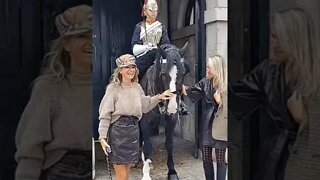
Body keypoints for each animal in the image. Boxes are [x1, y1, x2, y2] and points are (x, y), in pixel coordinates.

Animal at [137, 42, 188, 179]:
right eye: (164, 74)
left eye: (183, 73)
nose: (172, 107)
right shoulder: (144, 123)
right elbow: (147, 147)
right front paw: (146, 174)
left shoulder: (171, 121)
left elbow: (169, 145)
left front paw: (172, 171)